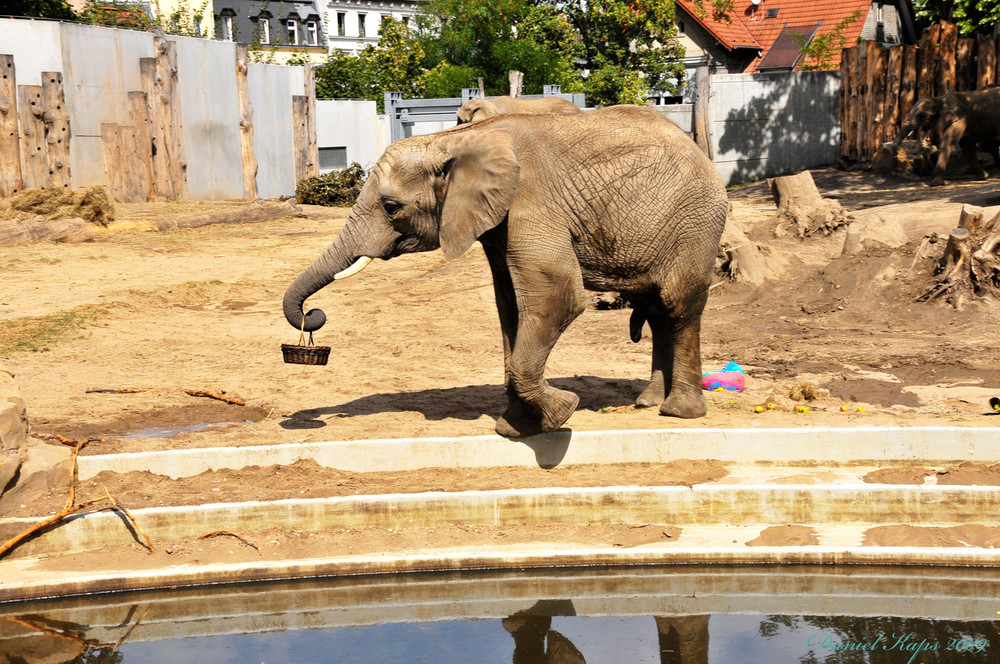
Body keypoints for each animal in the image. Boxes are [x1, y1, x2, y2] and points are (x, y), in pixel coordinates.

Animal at [282, 104, 728, 438]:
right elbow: (510, 306)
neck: (455, 139)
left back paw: (679, 412)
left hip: (696, 221)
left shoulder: (532, 202)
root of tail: (698, 150)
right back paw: (647, 402)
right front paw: (516, 429)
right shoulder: (496, 223)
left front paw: (563, 410)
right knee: (657, 309)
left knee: (679, 304)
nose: (313, 315)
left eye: (391, 208)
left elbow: (557, 296)